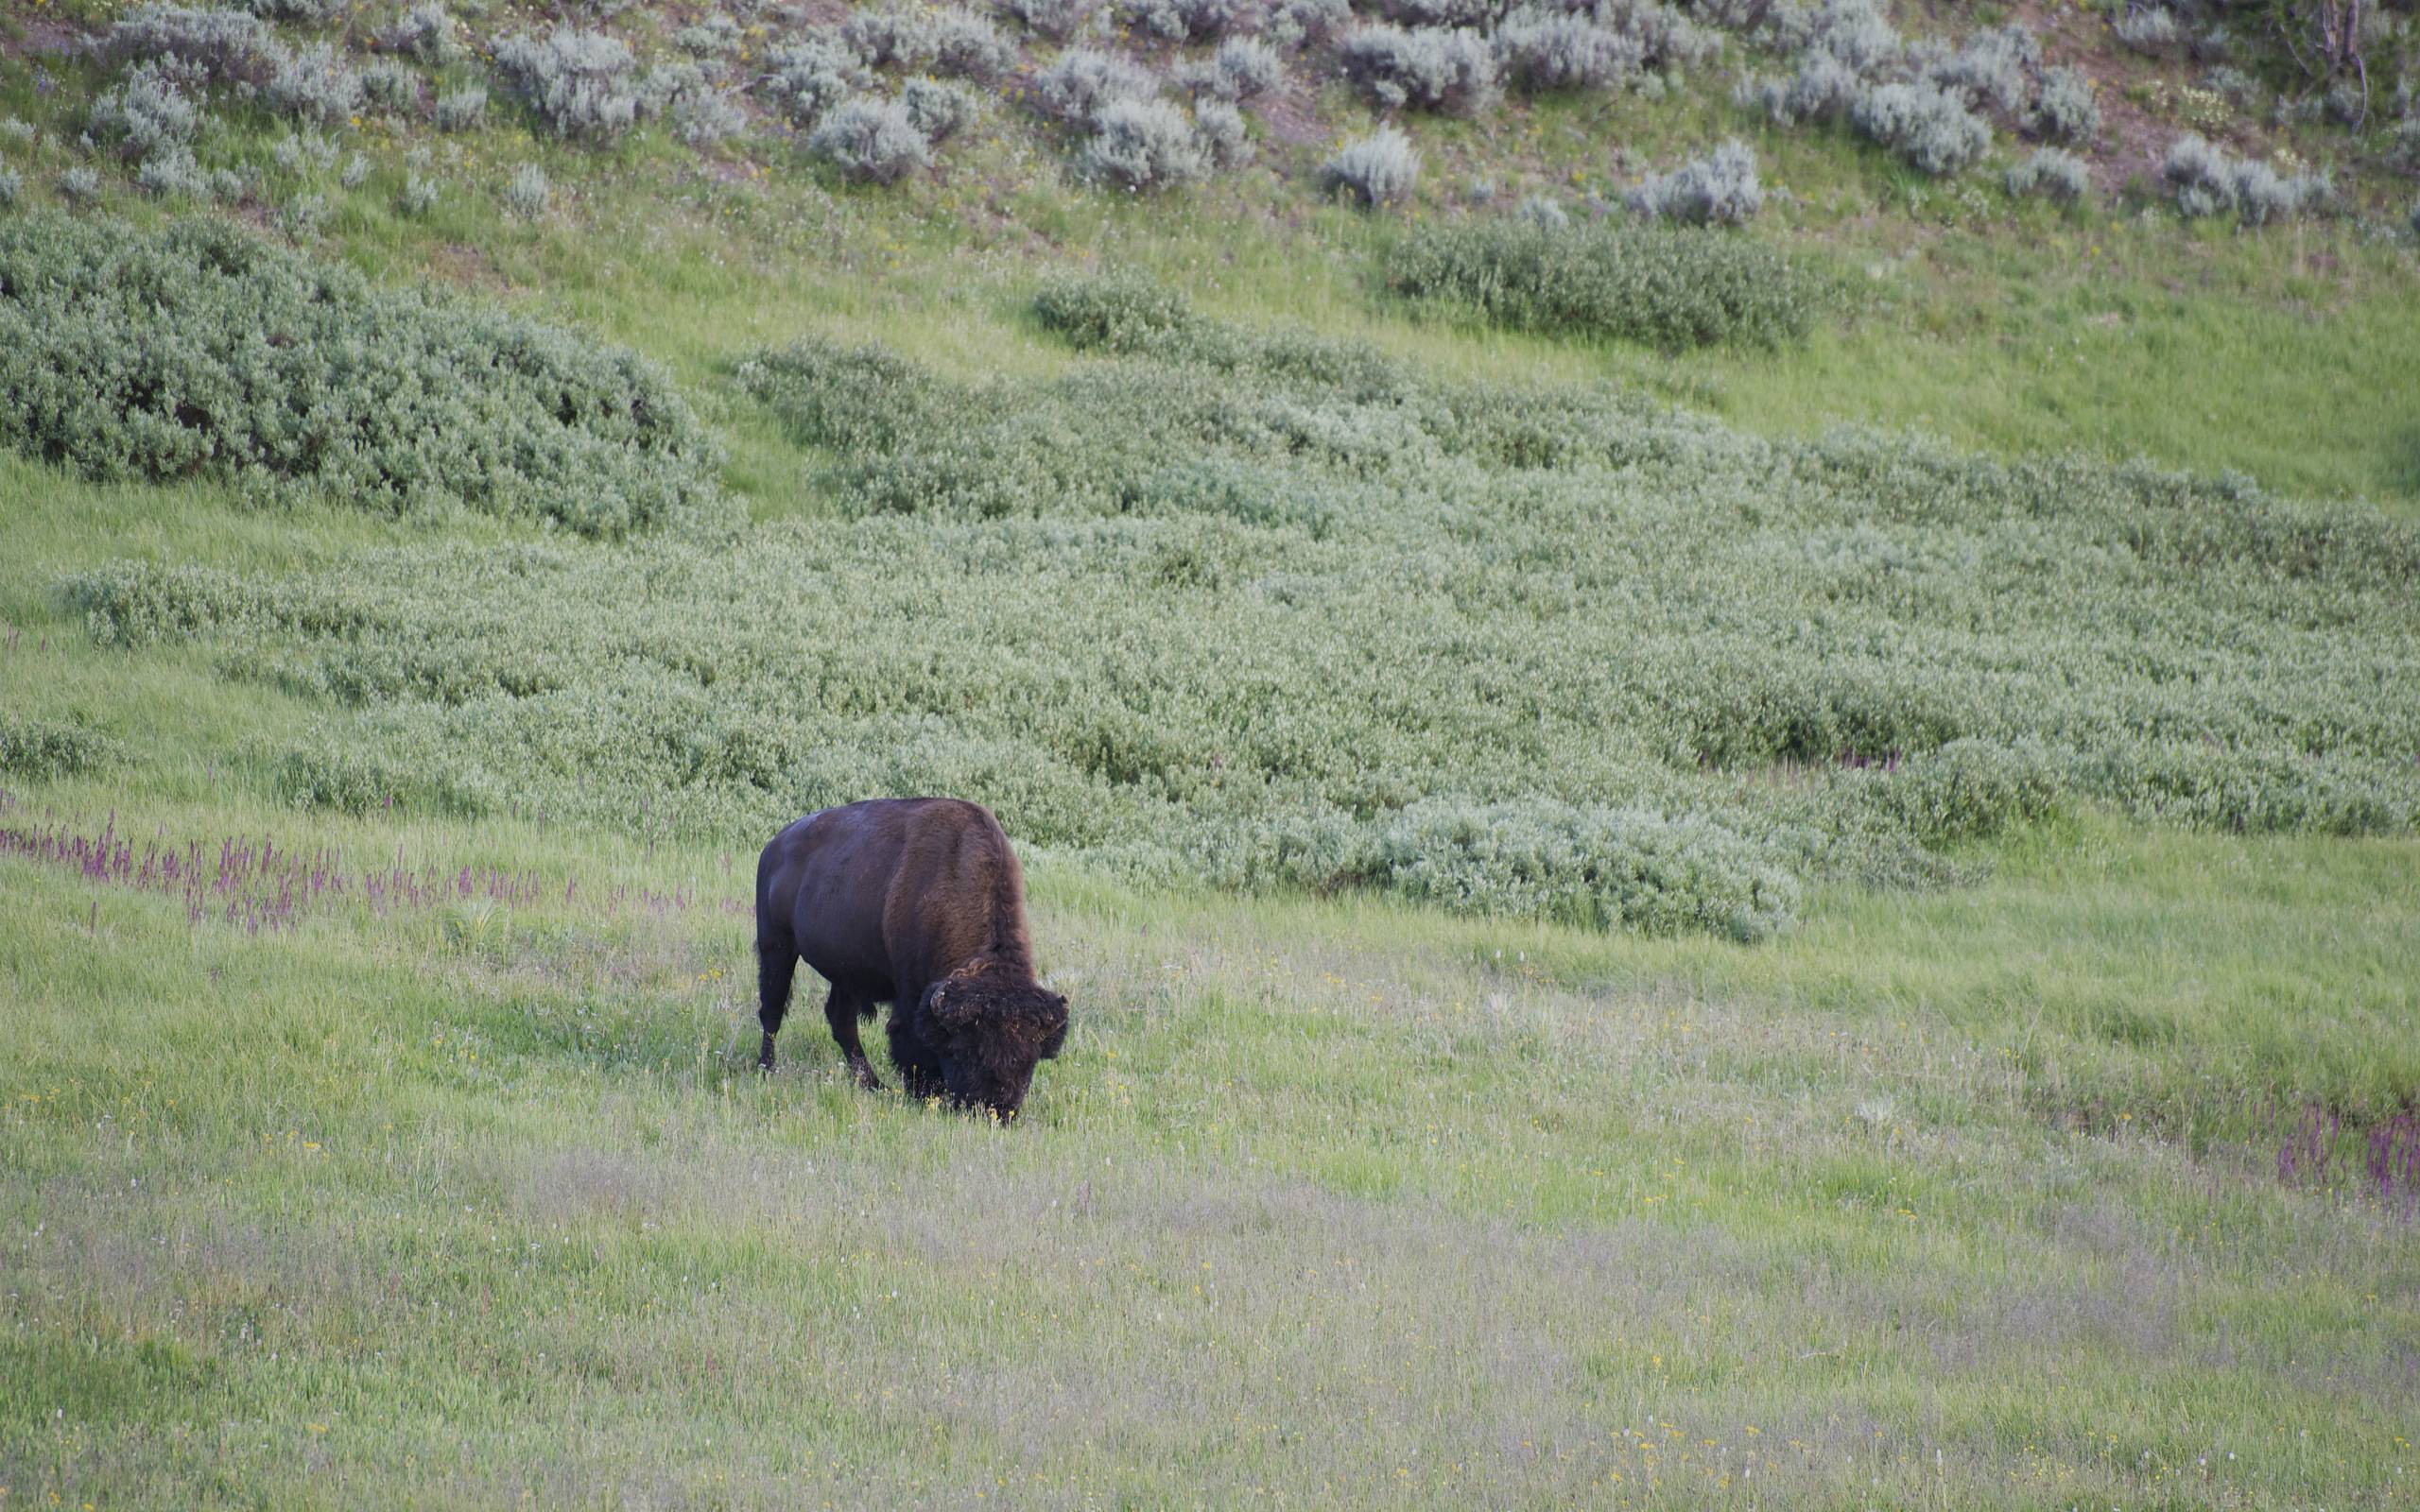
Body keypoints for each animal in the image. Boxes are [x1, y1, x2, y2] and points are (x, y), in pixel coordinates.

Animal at [750, 798, 1064, 1112]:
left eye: (1029, 1059)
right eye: (964, 1051)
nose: (994, 1109)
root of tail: (773, 846)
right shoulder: (911, 993)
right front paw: (924, 1095)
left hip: (847, 971)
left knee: (841, 1019)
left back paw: (873, 1084)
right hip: (776, 947)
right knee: (772, 1011)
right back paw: (767, 1070)